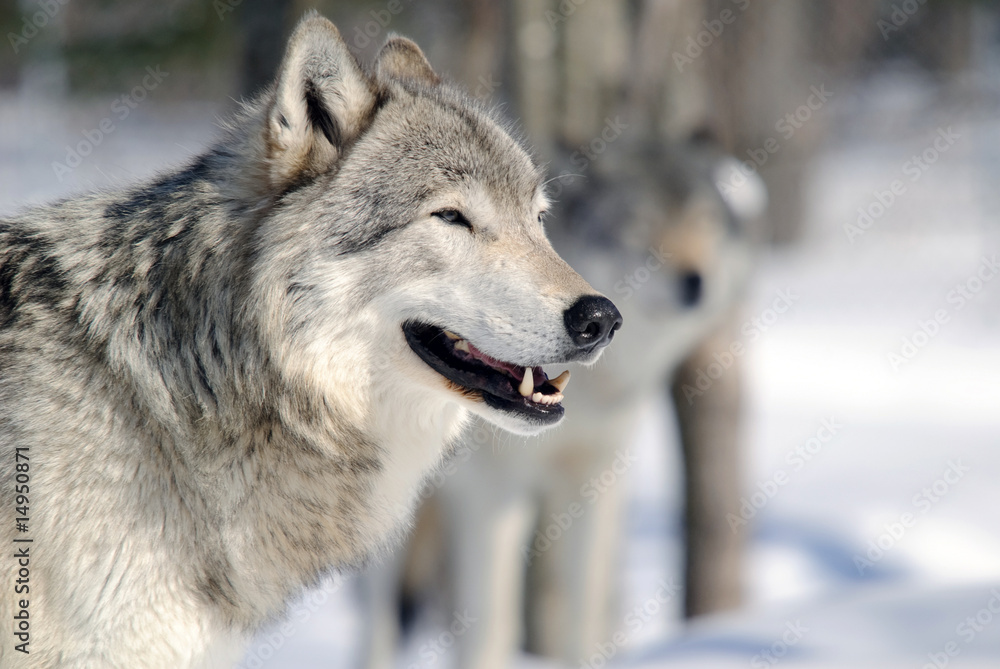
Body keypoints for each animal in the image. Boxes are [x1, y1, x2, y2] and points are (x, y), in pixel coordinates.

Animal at [359, 136, 764, 668]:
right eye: (638, 226)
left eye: (705, 221)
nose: (695, 281)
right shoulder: (491, 492)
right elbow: (491, 623)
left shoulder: (593, 479)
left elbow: (583, 606)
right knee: (379, 620)